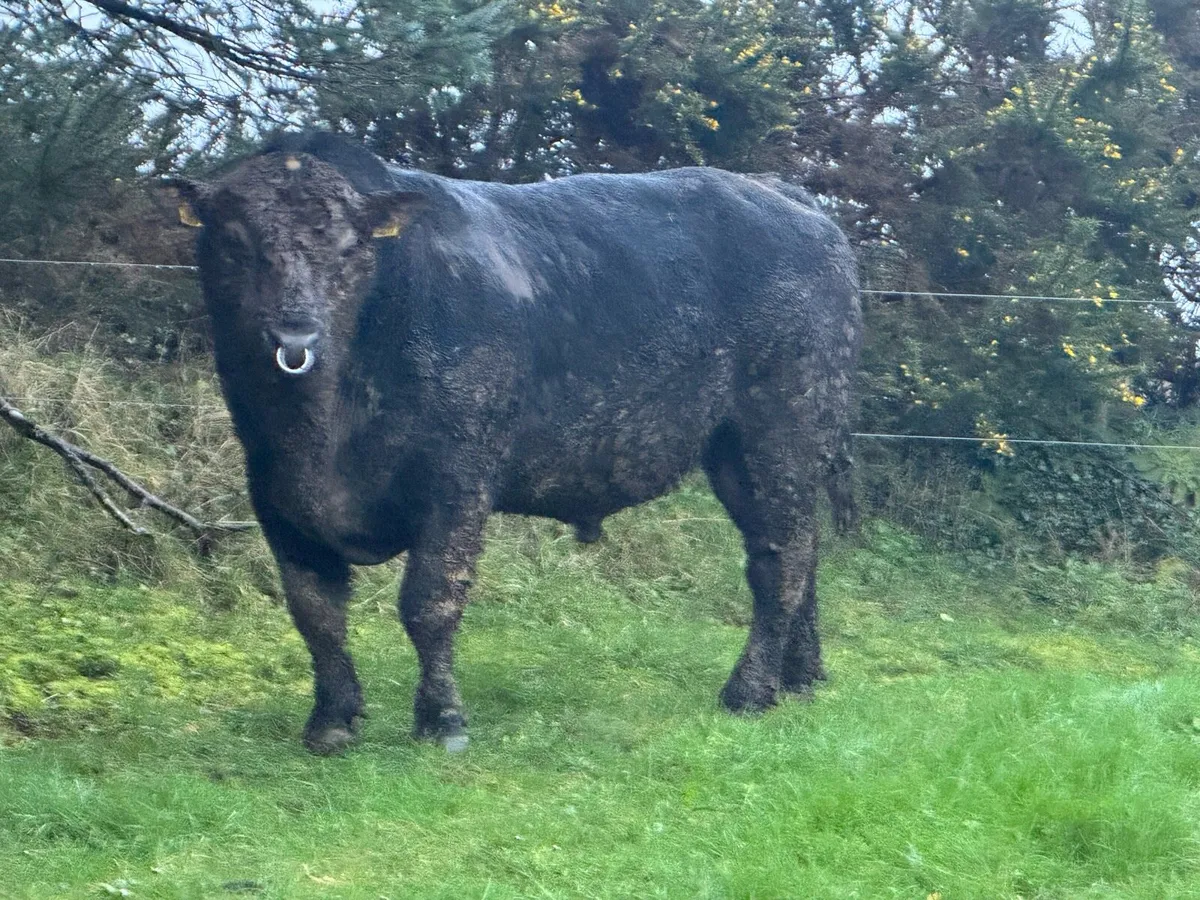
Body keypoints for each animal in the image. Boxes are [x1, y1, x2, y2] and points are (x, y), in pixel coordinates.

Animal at [175, 132, 861, 755]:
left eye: (349, 247)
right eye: (234, 242)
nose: (293, 333)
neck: (323, 435)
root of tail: (778, 191)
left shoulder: (458, 476)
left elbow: (430, 599)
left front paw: (443, 721)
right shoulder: (274, 492)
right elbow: (315, 613)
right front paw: (331, 721)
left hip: (781, 428)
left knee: (780, 558)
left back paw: (749, 690)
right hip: (740, 454)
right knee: (799, 547)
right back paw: (800, 679)